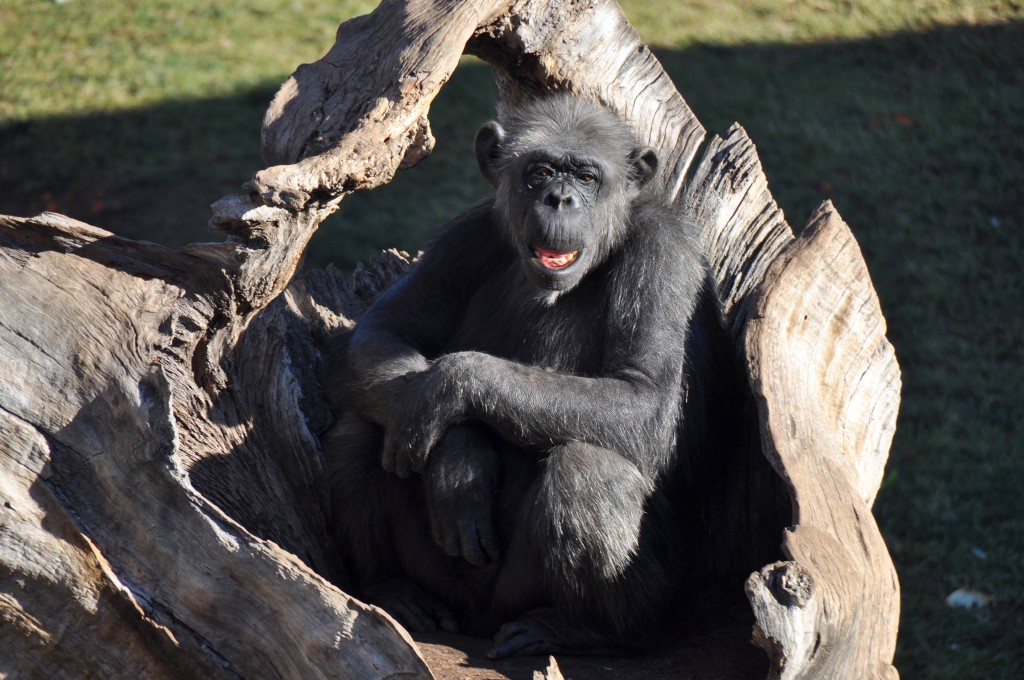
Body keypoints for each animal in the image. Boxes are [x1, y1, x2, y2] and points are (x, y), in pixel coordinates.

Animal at [323, 95, 724, 659]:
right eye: (540, 173)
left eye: (586, 175)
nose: (560, 199)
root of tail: (477, 625)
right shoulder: (466, 236)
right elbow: (385, 328)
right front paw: (459, 456)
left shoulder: (664, 256)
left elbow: (641, 394)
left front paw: (451, 386)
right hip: (442, 577)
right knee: (367, 427)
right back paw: (394, 591)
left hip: (540, 596)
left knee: (588, 472)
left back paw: (582, 628)